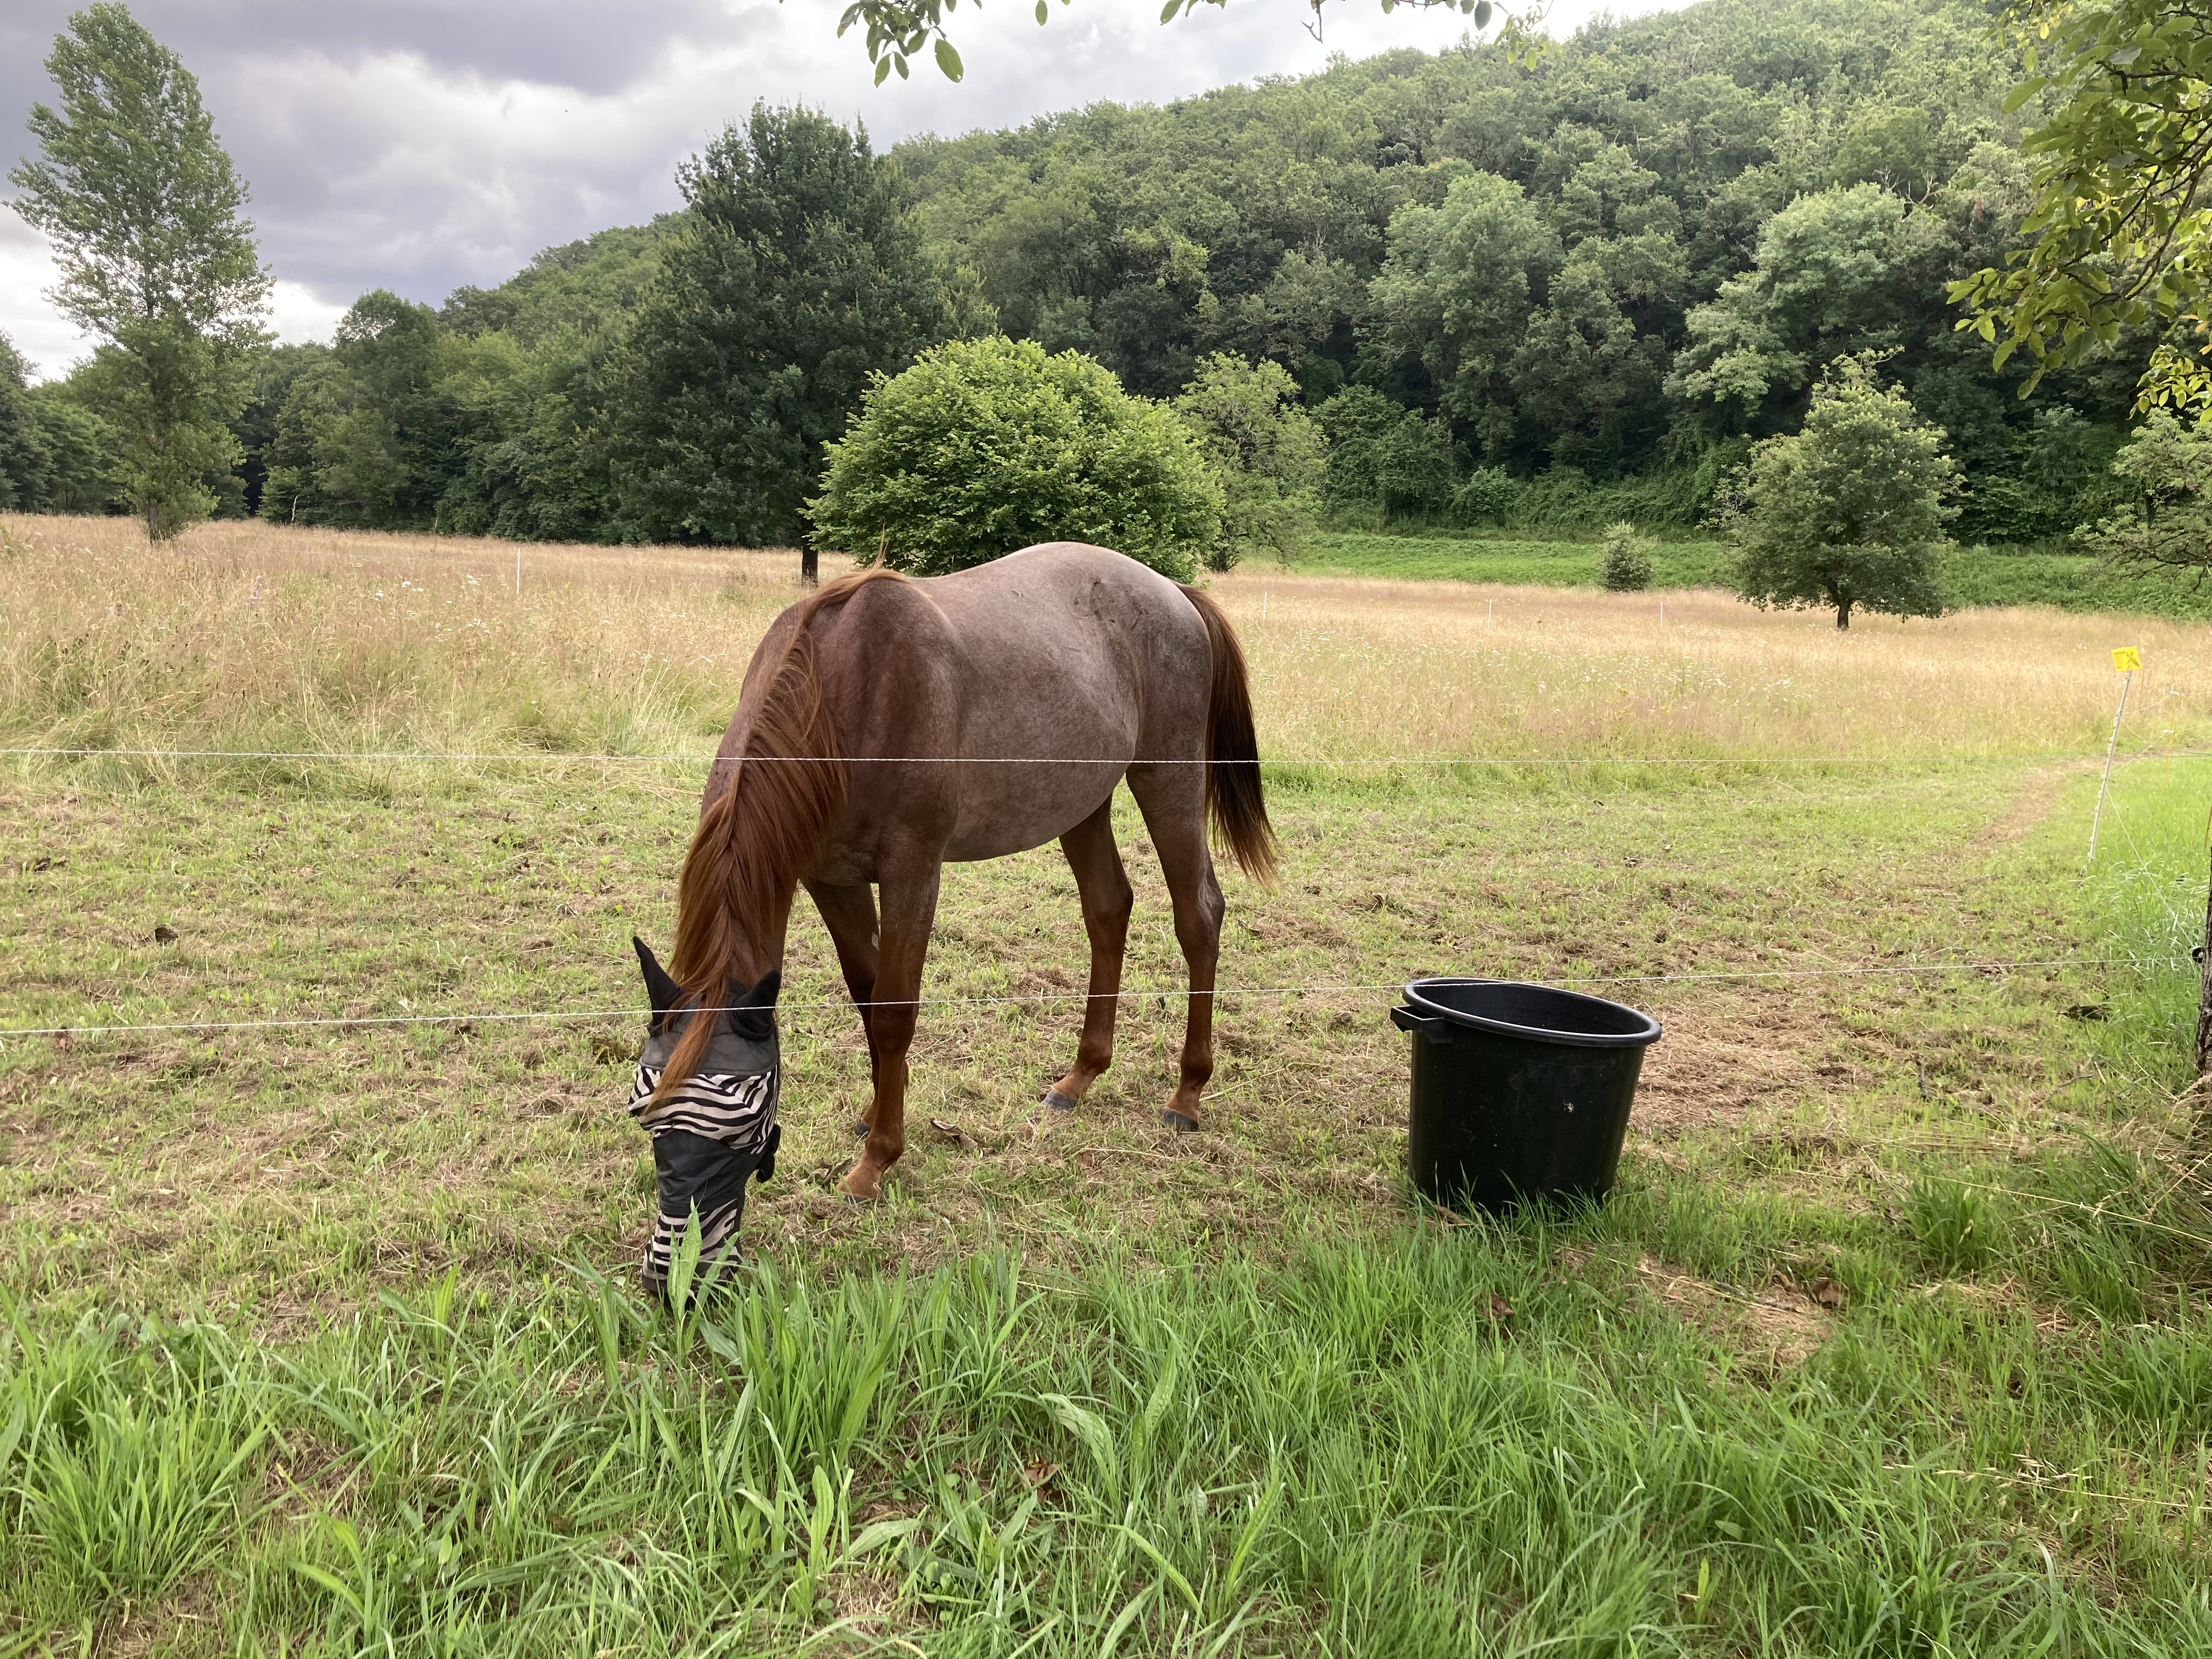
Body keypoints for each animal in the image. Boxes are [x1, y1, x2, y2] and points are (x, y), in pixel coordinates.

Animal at [628, 539, 1283, 1256]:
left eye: (742, 1114)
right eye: (646, 1114)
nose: (679, 1260)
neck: (840, 689)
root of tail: (1174, 592)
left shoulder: (914, 871)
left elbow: (893, 1013)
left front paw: (876, 1163)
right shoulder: (833, 879)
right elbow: (867, 997)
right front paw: (875, 1114)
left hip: (1169, 782)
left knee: (1199, 917)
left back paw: (1187, 1094)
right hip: (1082, 804)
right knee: (1109, 910)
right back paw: (1080, 1077)